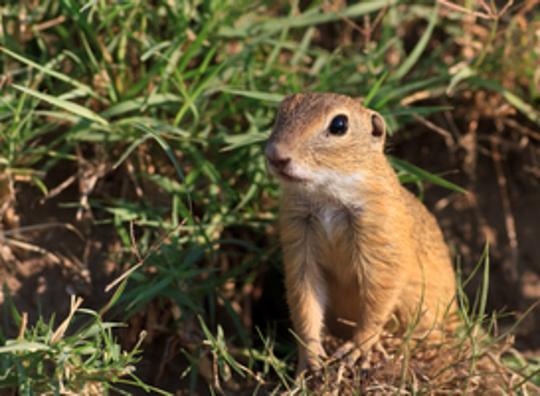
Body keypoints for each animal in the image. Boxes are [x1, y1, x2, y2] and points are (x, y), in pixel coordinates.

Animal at [264, 93, 456, 374]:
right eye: (280, 111)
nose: (275, 155)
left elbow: (378, 300)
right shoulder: (298, 238)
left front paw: (356, 349)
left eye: (339, 125)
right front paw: (311, 358)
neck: (328, 195)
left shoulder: (379, 236)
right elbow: (304, 299)